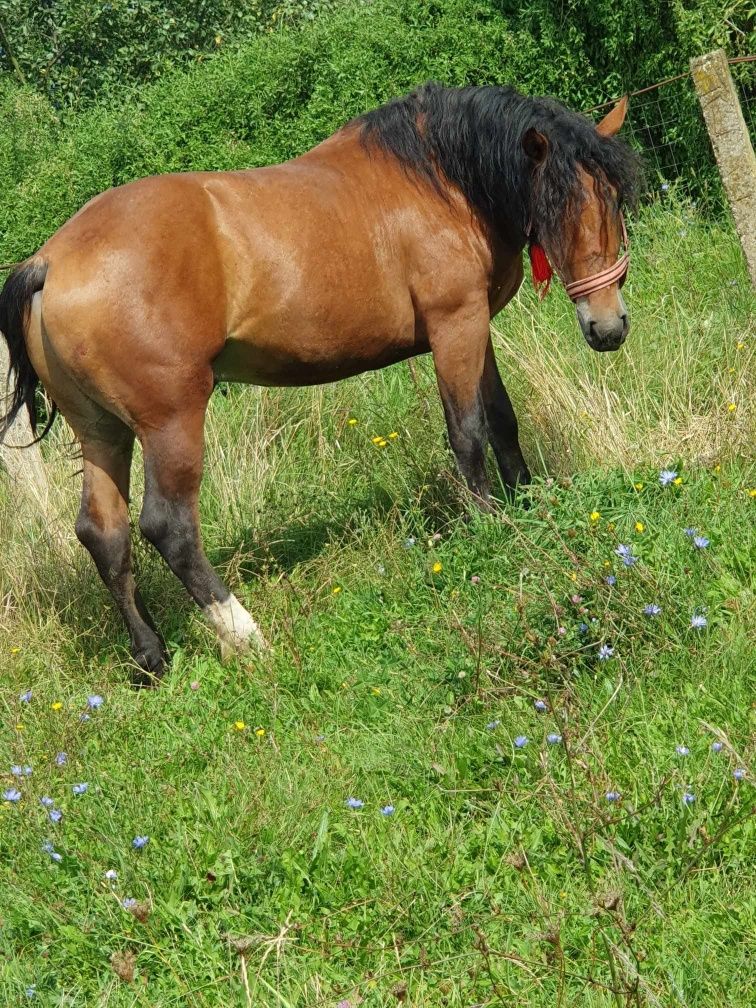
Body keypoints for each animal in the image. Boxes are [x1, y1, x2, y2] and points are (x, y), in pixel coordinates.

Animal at [0, 86, 641, 685]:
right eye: (560, 203)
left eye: (612, 199)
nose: (608, 327)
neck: (439, 180)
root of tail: (49, 263)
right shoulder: (456, 324)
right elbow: (468, 435)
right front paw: (490, 527)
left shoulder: (475, 327)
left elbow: (503, 422)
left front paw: (531, 503)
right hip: (171, 421)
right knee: (168, 527)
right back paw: (245, 636)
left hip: (102, 431)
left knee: (103, 533)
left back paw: (152, 657)